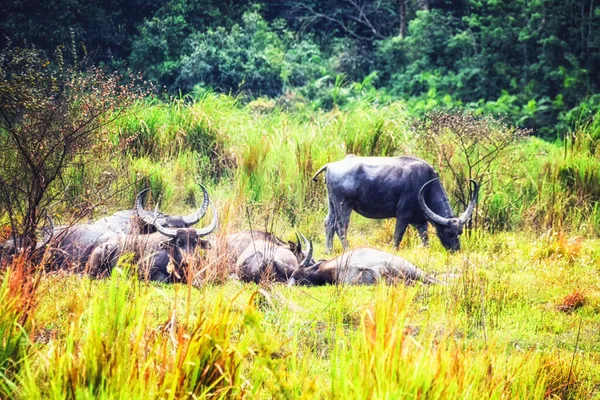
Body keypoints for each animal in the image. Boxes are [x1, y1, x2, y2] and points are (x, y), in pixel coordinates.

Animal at [314, 155, 478, 252]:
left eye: (460, 232)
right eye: (448, 232)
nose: (456, 249)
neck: (425, 185)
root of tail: (331, 165)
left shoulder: (421, 221)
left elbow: (425, 238)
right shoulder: (403, 215)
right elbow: (397, 236)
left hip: (332, 203)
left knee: (328, 224)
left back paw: (328, 250)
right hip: (344, 205)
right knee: (340, 226)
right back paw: (348, 249)